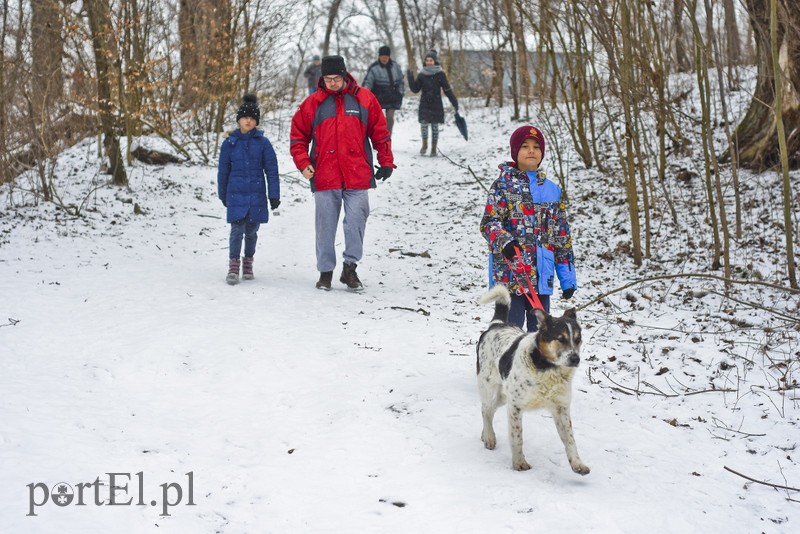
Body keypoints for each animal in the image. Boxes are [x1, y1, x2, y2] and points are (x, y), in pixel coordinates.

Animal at [478, 286, 592, 476]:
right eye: (560, 338)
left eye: (578, 339)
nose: (575, 359)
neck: (547, 368)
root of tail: (497, 324)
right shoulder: (515, 407)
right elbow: (517, 438)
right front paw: (519, 463)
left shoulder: (561, 409)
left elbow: (570, 440)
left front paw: (577, 464)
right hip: (488, 386)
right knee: (485, 410)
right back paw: (489, 437)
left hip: (503, 397)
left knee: (491, 410)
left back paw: (485, 434)